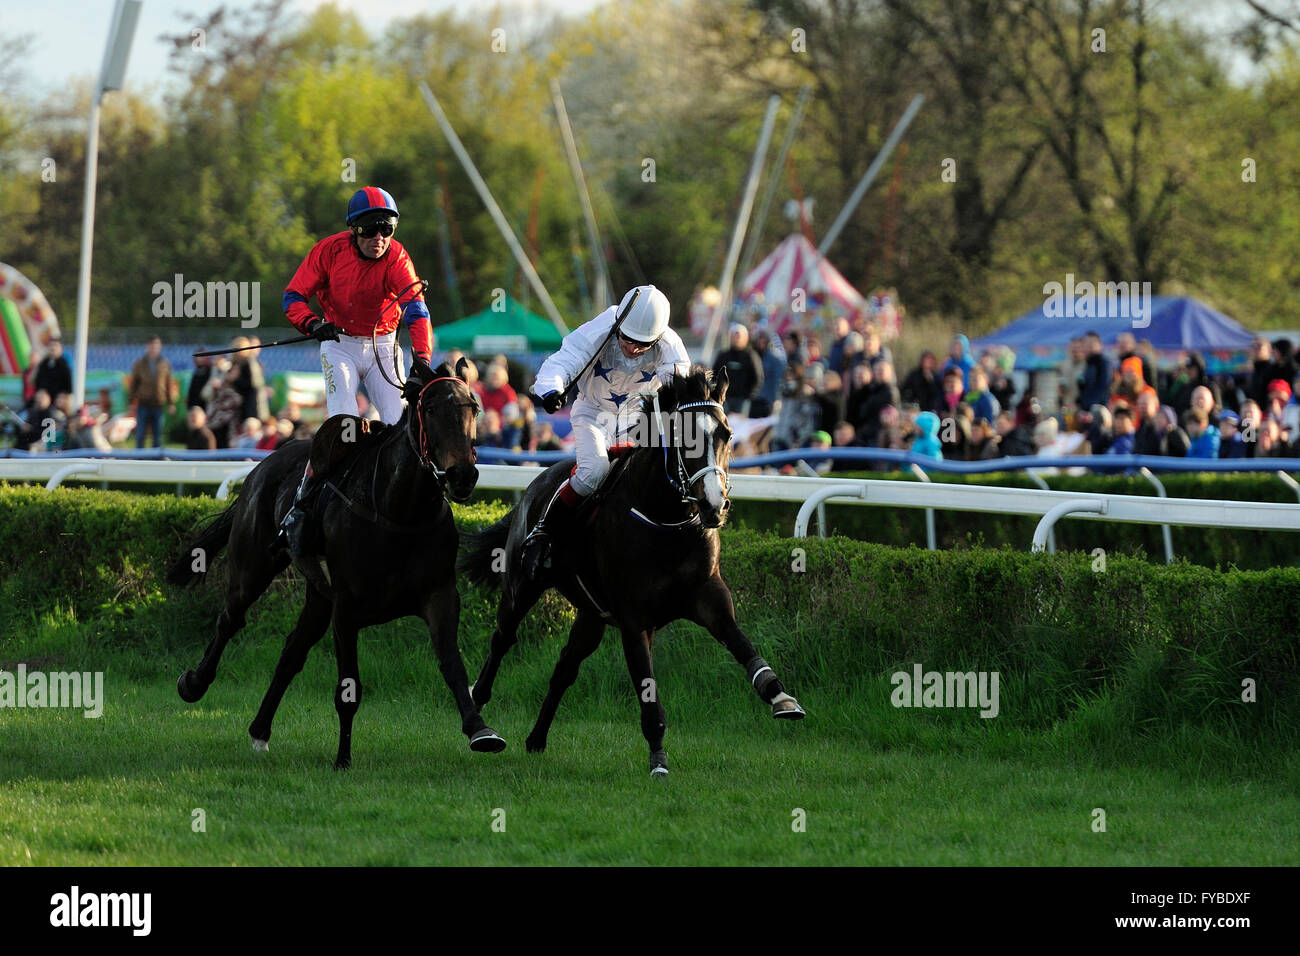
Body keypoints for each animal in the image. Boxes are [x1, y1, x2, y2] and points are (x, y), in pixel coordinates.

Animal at [163, 358, 506, 770]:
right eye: (430, 409)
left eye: (473, 408)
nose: (462, 476)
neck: (401, 512)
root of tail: (263, 464)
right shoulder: (347, 607)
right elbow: (349, 688)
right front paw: (343, 758)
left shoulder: (439, 596)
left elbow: (453, 665)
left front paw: (480, 730)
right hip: (254, 567)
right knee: (230, 620)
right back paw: (193, 684)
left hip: (317, 594)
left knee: (292, 651)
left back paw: (260, 731)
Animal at [457, 366, 800, 780]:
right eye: (683, 437)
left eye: (727, 434)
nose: (714, 504)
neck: (665, 521)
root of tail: (534, 485)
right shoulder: (635, 619)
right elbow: (646, 688)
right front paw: (659, 761)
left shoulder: (708, 597)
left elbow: (742, 643)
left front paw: (781, 697)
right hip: (522, 587)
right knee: (503, 639)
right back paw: (477, 708)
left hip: (590, 614)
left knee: (565, 667)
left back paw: (536, 739)